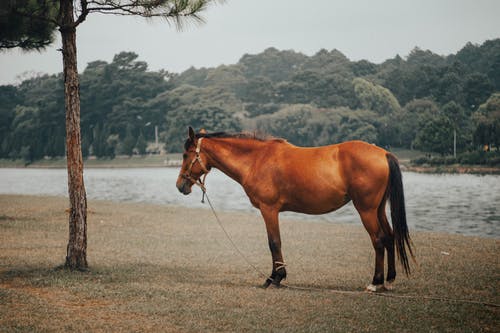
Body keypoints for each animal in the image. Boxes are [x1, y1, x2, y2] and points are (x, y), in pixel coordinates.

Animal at [176, 126, 414, 290]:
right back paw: (389, 280)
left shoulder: (269, 210)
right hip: (378, 209)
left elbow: (274, 242)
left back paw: (375, 282)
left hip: (366, 210)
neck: (257, 159)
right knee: (389, 236)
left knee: (378, 240)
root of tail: (383, 153)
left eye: (186, 155)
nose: (180, 185)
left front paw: (275, 278)